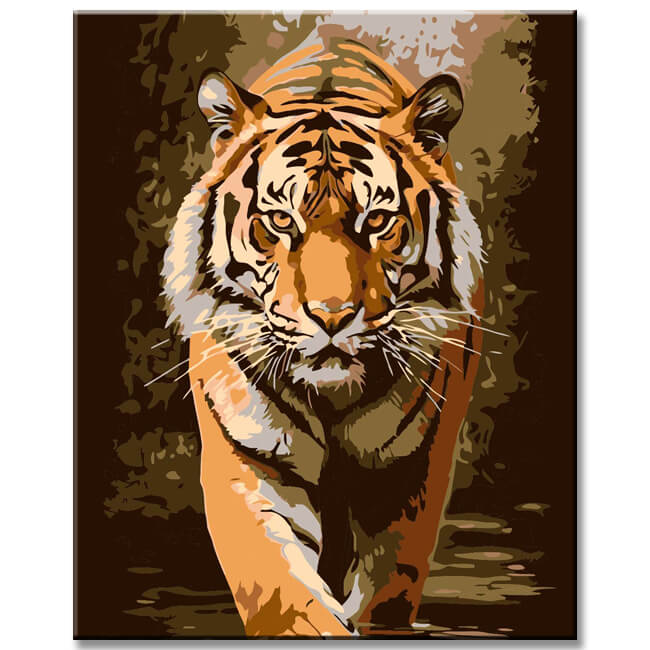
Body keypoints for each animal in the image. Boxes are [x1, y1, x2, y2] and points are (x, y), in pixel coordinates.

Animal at [161, 31, 484, 637]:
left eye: (376, 221)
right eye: (281, 221)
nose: (332, 317)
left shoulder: (409, 473)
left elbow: (388, 585)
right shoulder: (247, 460)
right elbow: (280, 588)